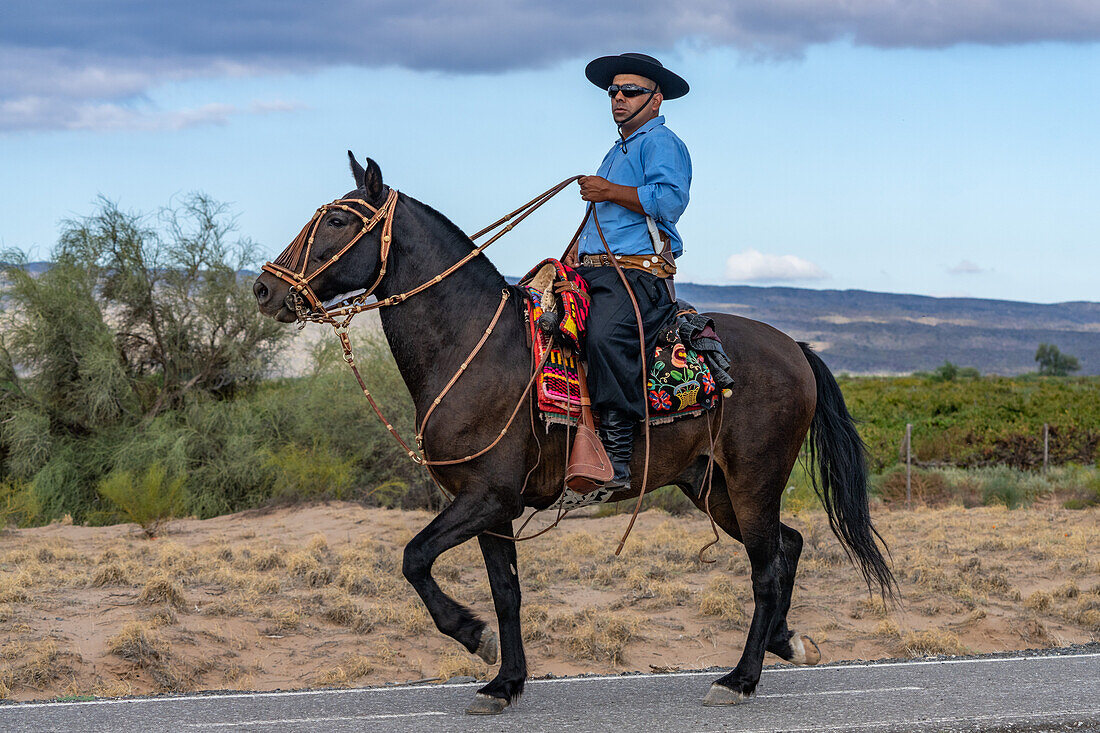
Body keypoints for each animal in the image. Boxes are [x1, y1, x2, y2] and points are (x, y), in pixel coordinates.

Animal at [251, 155, 893, 713]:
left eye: (338, 220)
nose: (264, 290)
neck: (472, 344)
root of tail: (796, 349)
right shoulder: (489, 506)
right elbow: (505, 592)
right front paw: (504, 683)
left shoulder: (486, 497)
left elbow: (414, 559)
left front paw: (473, 636)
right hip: (711, 487)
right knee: (788, 546)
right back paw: (788, 643)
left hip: (754, 479)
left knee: (765, 570)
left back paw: (739, 679)